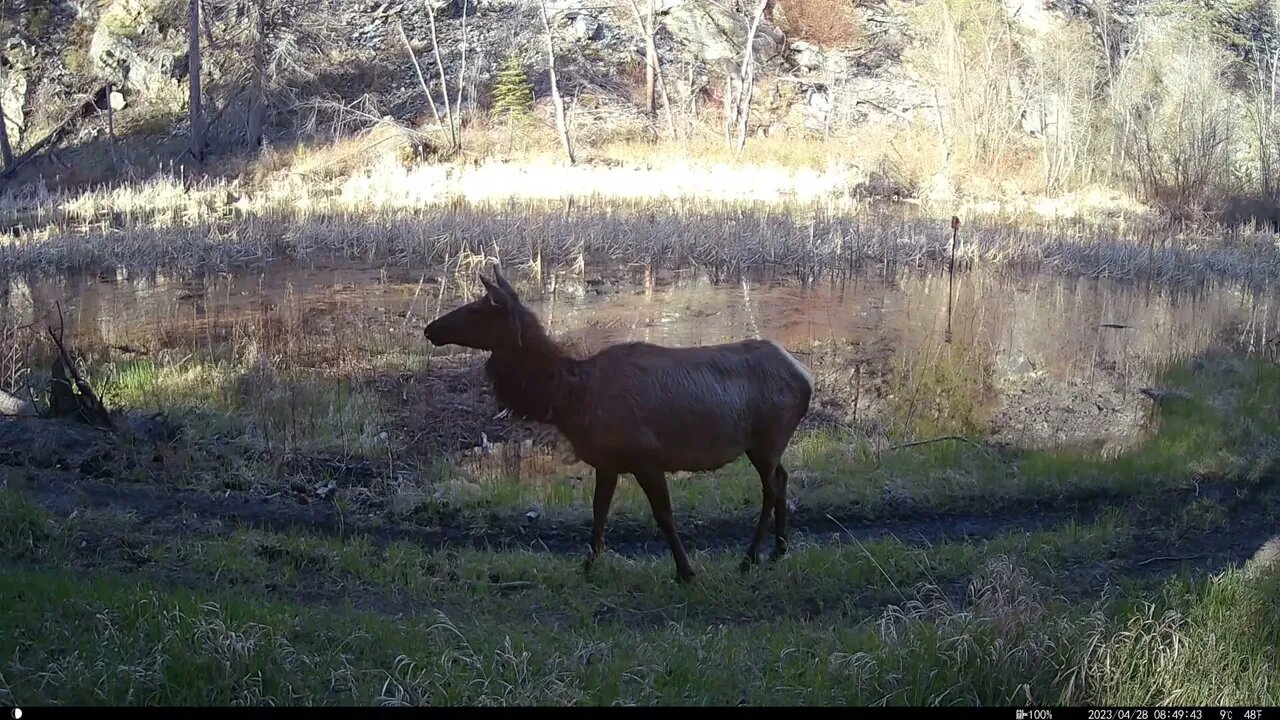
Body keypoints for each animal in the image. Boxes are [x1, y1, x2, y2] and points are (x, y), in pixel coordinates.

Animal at [424, 266, 814, 579]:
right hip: (766, 445)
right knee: (783, 478)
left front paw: (685, 570)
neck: (568, 398)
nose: (430, 328)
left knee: (771, 487)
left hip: (767, 439)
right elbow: (599, 512)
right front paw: (587, 565)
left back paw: (750, 558)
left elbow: (663, 515)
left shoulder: (646, 456)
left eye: (478, 308)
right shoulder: (607, 461)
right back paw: (778, 550)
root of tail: (805, 377)